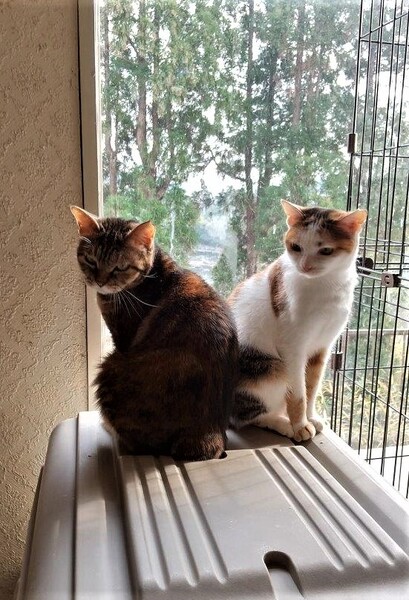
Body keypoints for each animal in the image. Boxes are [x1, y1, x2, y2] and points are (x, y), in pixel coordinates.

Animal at [70, 206, 238, 460]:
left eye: (120, 267)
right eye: (91, 260)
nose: (99, 282)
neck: (152, 271)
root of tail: (208, 433)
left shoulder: (122, 338)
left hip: (110, 369)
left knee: (138, 445)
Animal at [228, 200, 367, 442]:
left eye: (326, 250)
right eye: (296, 247)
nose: (305, 266)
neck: (326, 286)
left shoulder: (322, 346)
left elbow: (311, 387)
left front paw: (310, 417)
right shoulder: (293, 347)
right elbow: (298, 394)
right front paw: (301, 425)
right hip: (271, 369)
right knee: (246, 418)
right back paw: (283, 424)